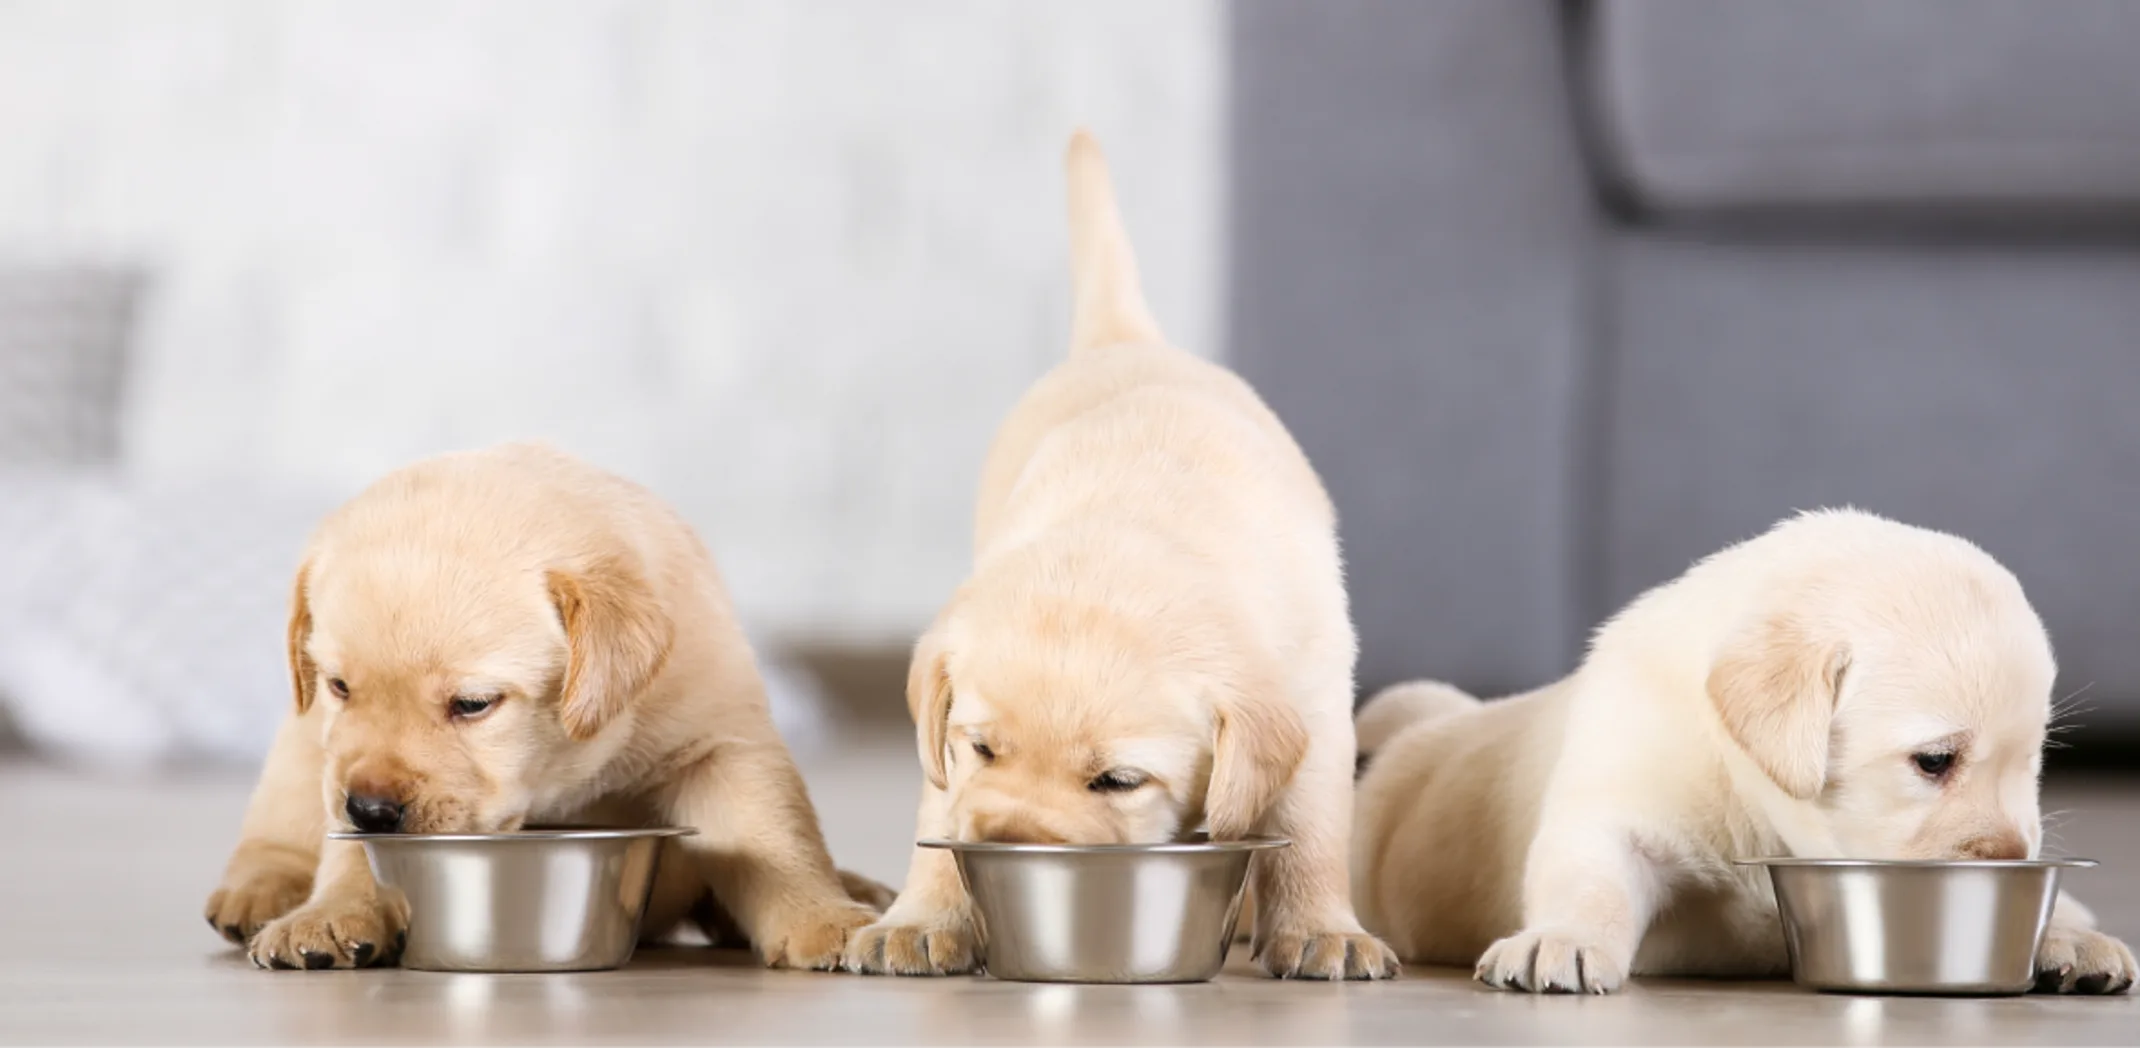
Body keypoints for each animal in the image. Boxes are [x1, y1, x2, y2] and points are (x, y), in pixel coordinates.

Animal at [202, 440, 885, 966]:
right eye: (340, 687)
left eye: (472, 704)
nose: (370, 809)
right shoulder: (334, 759)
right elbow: (349, 855)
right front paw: (333, 912)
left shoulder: (718, 743)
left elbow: (774, 838)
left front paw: (823, 917)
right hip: (298, 748)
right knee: (278, 831)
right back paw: (259, 891)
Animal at [843, 133, 1395, 983]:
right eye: (983, 748)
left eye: (1119, 781)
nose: (1009, 841)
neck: (1132, 535)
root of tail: (1128, 338)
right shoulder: (948, 751)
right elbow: (940, 808)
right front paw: (924, 916)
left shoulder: (1318, 702)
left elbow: (1310, 829)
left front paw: (1320, 929)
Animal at [1361, 511, 2131, 996]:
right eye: (1934, 761)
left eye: (2034, 762)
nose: (2012, 855)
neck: (1761, 811)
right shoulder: (1617, 802)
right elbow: (1591, 881)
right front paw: (1565, 936)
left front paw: (2061, 932)